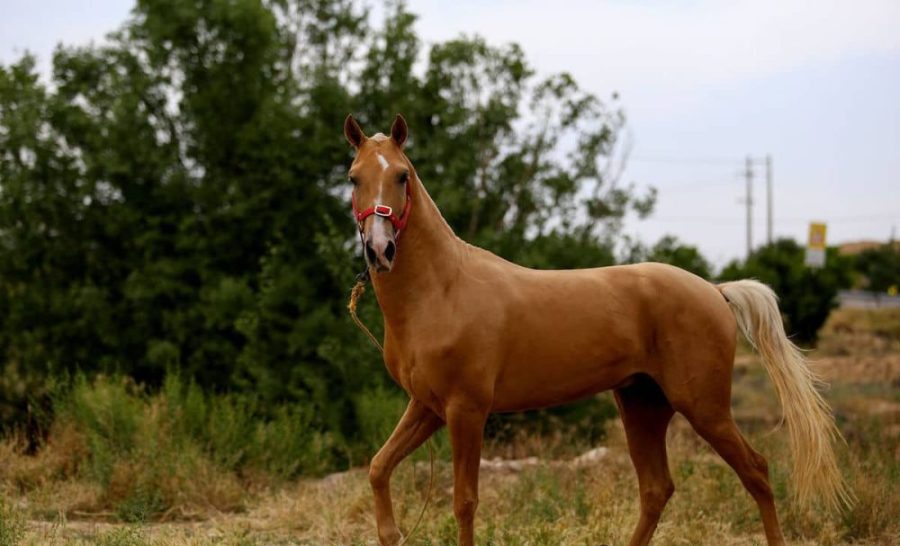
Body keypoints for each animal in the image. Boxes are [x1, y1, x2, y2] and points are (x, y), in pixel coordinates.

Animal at [343, 114, 849, 546]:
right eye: (353, 177)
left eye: (402, 176)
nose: (380, 250)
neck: (443, 290)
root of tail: (714, 289)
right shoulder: (427, 406)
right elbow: (378, 468)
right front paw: (391, 533)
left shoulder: (466, 410)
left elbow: (464, 502)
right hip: (643, 405)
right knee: (657, 489)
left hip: (704, 407)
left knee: (756, 472)